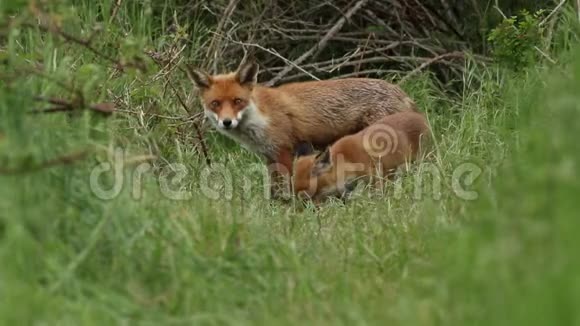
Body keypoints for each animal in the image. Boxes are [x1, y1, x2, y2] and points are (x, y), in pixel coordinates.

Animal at [190, 59, 416, 199]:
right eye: (215, 104)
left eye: (237, 101)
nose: (226, 122)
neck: (260, 116)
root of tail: (402, 93)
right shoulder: (269, 156)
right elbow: (273, 190)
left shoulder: (284, 151)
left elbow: (286, 185)